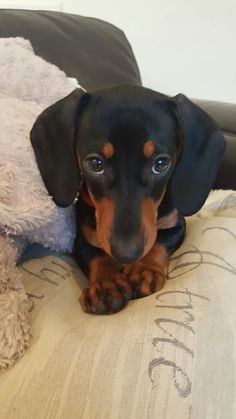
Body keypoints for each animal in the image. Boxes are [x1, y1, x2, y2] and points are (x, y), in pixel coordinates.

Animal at [30, 85, 226, 316]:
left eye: (161, 163)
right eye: (95, 164)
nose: (128, 253)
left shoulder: (176, 225)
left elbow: (160, 241)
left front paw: (144, 268)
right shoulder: (82, 238)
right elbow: (96, 256)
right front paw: (105, 283)